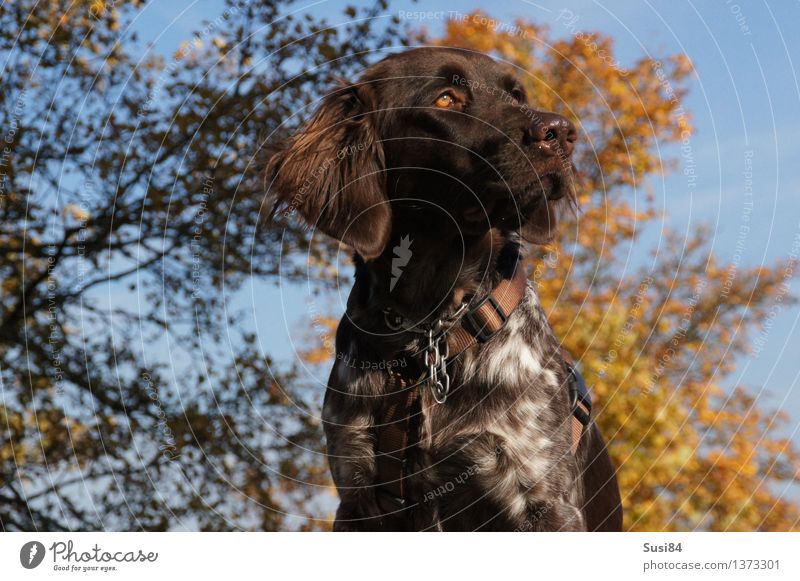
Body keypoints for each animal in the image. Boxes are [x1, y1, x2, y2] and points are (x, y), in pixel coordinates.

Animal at [266, 47, 620, 532]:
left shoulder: (545, 499)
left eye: (517, 94)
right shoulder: (359, 497)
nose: (561, 134)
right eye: (446, 99)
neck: (428, 330)